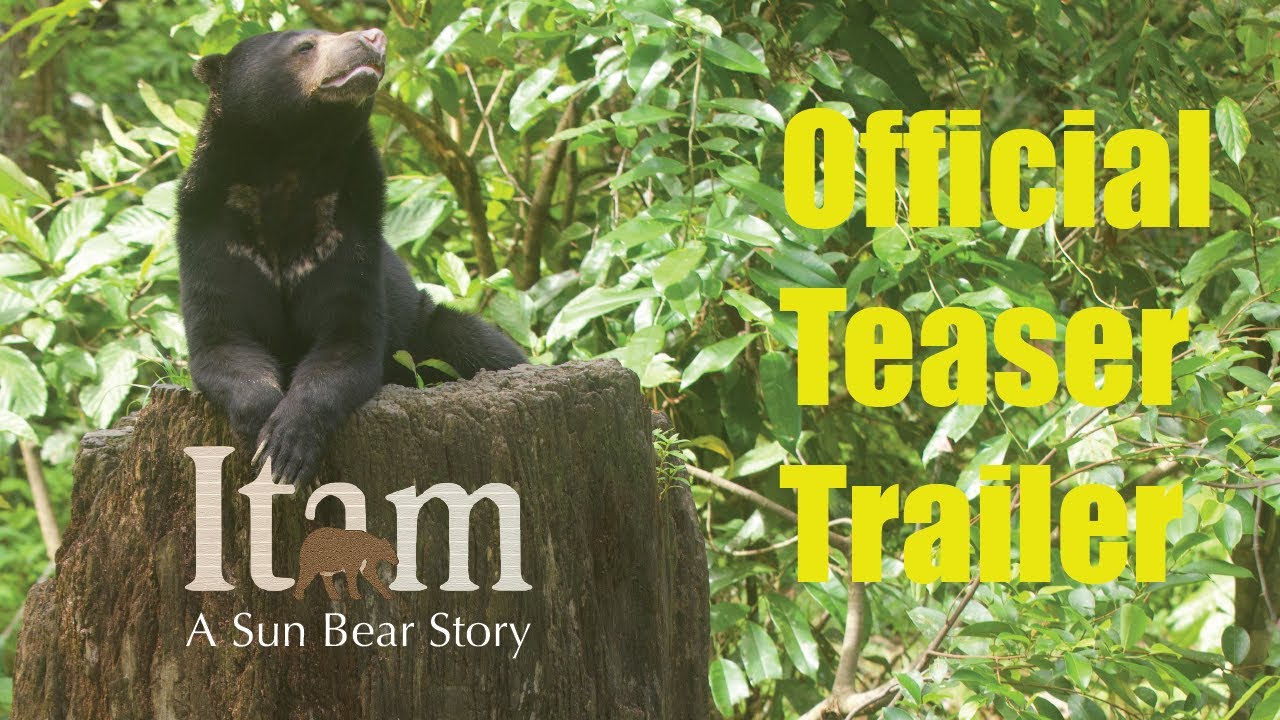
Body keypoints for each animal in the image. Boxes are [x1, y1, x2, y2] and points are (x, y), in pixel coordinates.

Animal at [176, 28, 525, 486]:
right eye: (305, 46)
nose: (373, 36)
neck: (290, 166)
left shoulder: (350, 234)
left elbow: (348, 342)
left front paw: (287, 445)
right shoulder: (211, 235)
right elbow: (222, 340)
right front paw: (263, 433)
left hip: (424, 326)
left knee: (480, 344)